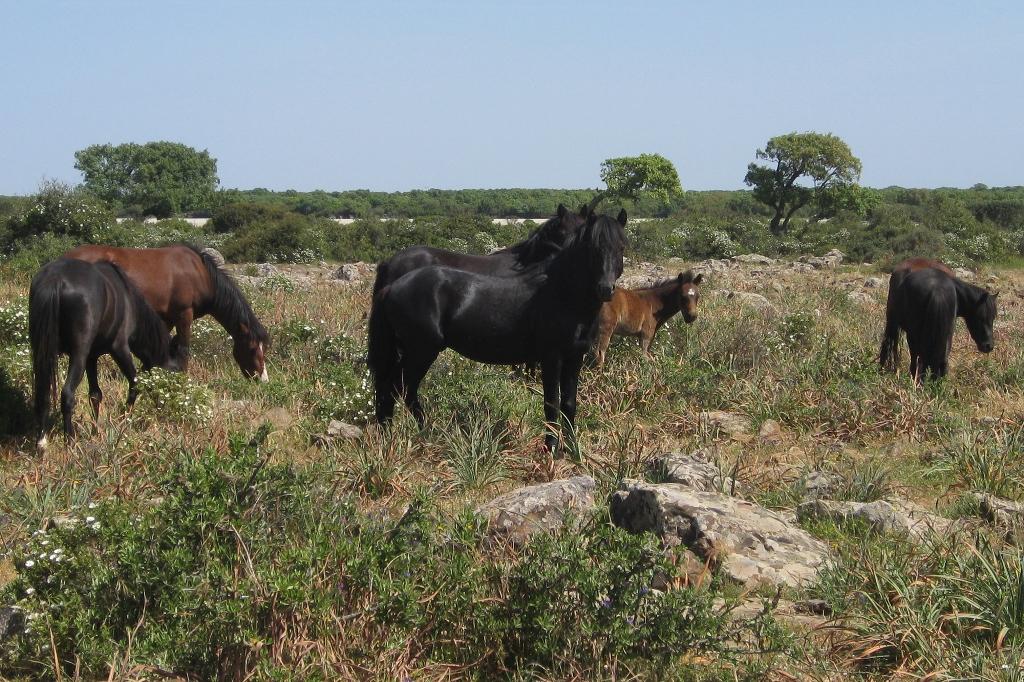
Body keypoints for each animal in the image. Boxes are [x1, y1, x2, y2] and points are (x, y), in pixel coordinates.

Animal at [29, 256, 172, 446]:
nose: (161, 406)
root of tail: (55, 279)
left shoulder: (91, 357)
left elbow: (95, 394)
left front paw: (95, 431)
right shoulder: (119, 349)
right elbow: (134, 383)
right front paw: (122, 421)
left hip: (42, 353)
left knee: (43, 393)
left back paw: (42, 441)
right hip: (78, 356)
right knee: (67, 395)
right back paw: (70, 441)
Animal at [59, 242, 268, 376]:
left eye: (263, 348)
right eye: (251, 348)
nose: (261, 378)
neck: (200, 273)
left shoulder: (166, 319)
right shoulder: (184, 315)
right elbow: (183, 349)